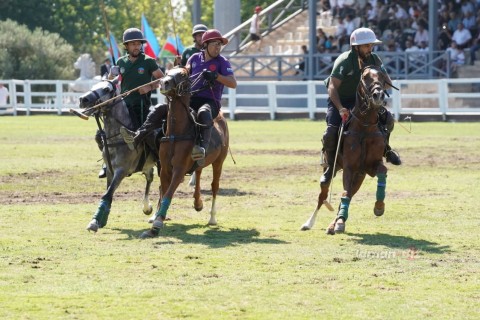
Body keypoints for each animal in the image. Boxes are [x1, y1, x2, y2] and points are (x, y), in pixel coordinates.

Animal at [79, 77, 157, 232]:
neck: (117, 137)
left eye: (106, 89)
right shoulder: (110, 170)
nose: (83, 99)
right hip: (148, 164)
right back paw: (147, 208)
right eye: (94, 85)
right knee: (150, 177)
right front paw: (100, 220)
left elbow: (107, 194)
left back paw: (153, 214)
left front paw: (94, 222)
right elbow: (109, 192)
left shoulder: (122, 170)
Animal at [140, 67, 230, 238]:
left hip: (219, 161)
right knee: (199, 172)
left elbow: (169, 193)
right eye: (167, 71)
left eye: (183, 74)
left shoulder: (179, 169)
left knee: (215, 186)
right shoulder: (165, 168)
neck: (176, 132)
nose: (164, 83)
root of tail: (221, 116)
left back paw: (212, 218)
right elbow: (163, 190)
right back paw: (198, 203)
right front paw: (156, 218)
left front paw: (157, 224)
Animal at [304, 65, 390, 235]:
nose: (378, 95)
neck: (365, 126)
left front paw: (379, 207)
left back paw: (334, 223)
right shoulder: (350, 167)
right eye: (365, 77)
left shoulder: (370, 166)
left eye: (383, 77)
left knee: (348, 194)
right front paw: (339, 223)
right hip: (333, 168)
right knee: (323, 195)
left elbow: (382, 171)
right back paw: (310, 223)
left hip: (359, 176)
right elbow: (345, 193)